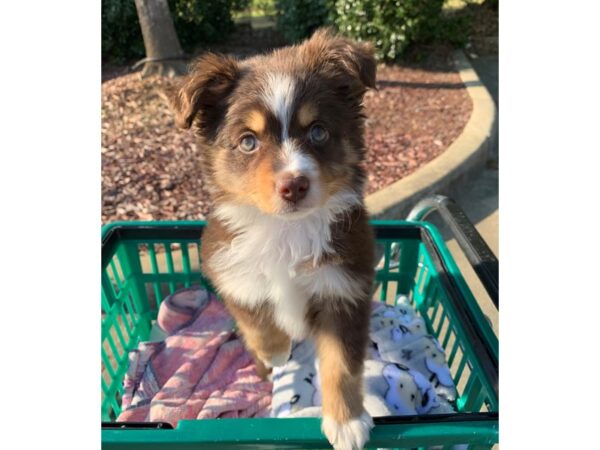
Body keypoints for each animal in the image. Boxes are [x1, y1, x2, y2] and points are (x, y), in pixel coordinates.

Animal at [166, 28, 378, 450]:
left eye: (318, 131)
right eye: (248, 141)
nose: (293, 185)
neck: (285, 230)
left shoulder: (345, 286)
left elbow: (342, 363)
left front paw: (347, 422)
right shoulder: (228, 268)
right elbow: (256, 319)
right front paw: (277, 353)